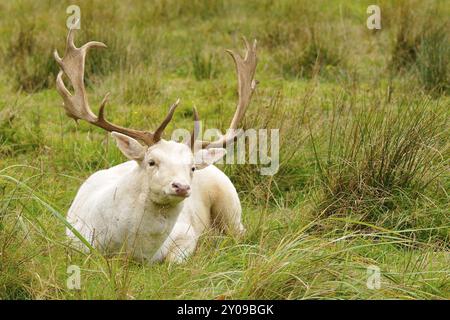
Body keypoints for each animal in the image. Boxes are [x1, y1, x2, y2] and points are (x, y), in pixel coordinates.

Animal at [53, 30, 256, 264]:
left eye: (192, 167)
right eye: (152, 162)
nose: (181, 186)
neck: (133, 249)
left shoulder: (187, 233)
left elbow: (173, 261)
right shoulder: (75, 240)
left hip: (230, 203)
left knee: (239, 233)